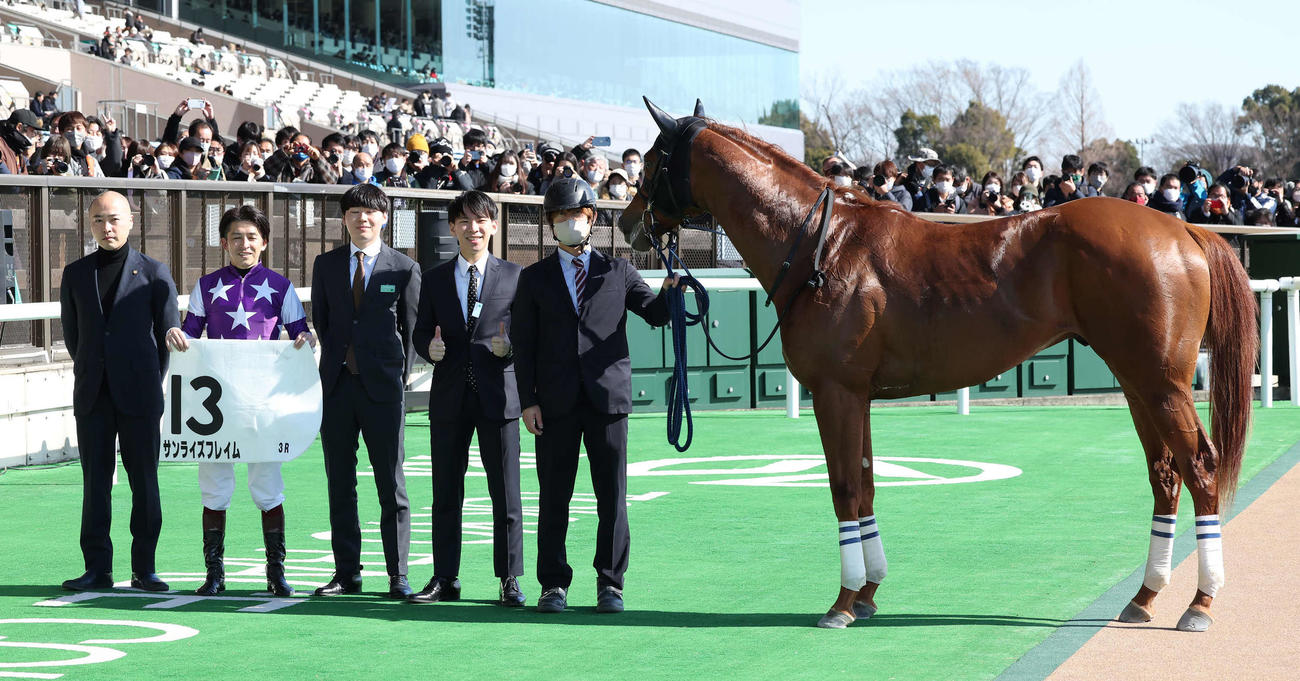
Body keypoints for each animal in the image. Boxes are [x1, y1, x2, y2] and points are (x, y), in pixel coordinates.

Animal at [618, 98, 1258, 630]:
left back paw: (1200, 604)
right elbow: (868, 485)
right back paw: (1144, 597)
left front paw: (842, 603)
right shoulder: (857, 397)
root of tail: (1183, 228)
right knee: (1165, 475)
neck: (824, 247)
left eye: (653, 159)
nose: (626, 223)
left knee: (1200, 468)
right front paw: (869, 593)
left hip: (1162, 385)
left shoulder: (835, 392)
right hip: (1136, 383)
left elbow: (844, 487)